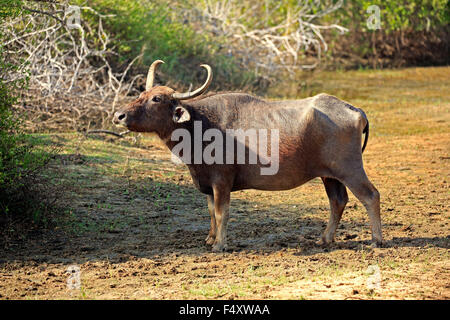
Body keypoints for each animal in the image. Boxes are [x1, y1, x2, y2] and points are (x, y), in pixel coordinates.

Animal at [114, 59, 382, 250]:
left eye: (157, 98)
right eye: (140, 94)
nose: (119, 115)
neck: (200, 125)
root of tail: (355, 110)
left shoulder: (221, 181)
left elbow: (222, 212)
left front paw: (220, 245)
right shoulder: (208, 183)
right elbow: (210, 212)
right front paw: (210, 239)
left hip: (350, 169)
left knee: (370, 195)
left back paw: (376, 239)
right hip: (330, 175)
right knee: (338, 201)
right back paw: (325, 239)